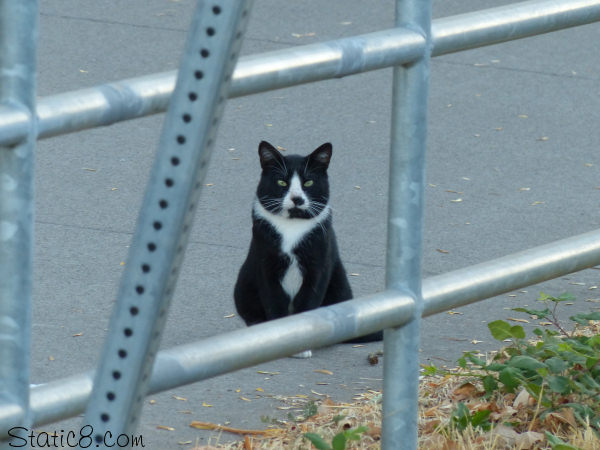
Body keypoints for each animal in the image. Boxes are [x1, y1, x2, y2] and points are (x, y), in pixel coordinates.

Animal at [232, 142, 382, 358]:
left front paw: (301, 345)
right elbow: (273, 299)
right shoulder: (265, 264)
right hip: (243, 284)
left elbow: (308, 301)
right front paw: (278, 338)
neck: (292, 226)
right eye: (282, 182)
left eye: (308, 183)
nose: (297, 198)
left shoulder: (318, 265)